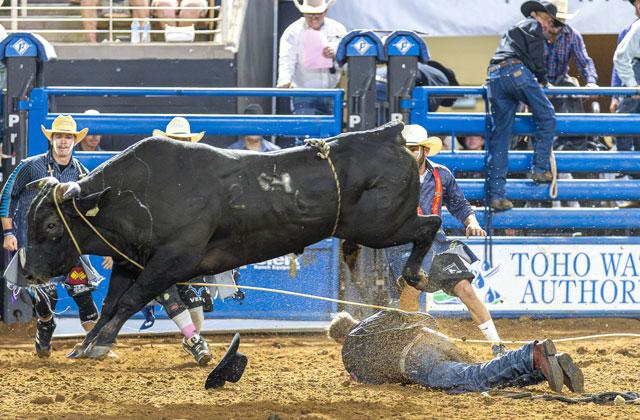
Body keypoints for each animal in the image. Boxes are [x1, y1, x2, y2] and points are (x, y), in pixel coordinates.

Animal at [21, 121, 441, 358]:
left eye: (52, 226)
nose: (29, 273)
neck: (133, 194)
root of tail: (388, 136)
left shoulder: (172, 261)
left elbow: (130, 301)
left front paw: (99, 344)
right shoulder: (128, 260)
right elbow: (111, 304)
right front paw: (87, 343)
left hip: (382, 226)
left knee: (431, 224)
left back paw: (415, 276)